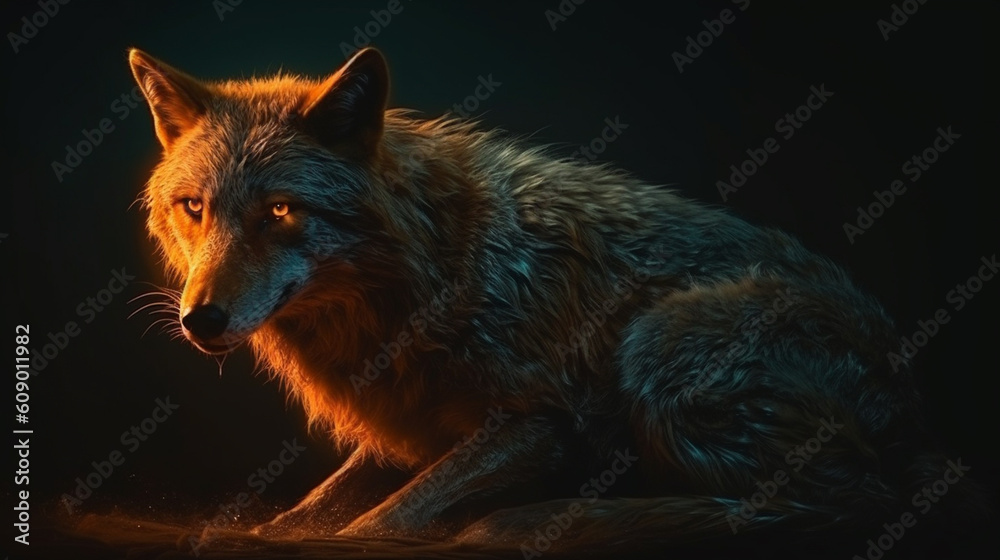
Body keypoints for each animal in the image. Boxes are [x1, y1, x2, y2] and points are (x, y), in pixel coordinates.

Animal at [128, 46, 981, 548]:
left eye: (280, 211)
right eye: (194, 208)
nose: (201, 319)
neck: (428, 272)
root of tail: (910, 391)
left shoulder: (544, 419)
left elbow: (383, 519)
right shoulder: (405, 433)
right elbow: (309, 511)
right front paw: (257, 531)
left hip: (659, 355)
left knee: (838, 503)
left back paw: (555, 521)